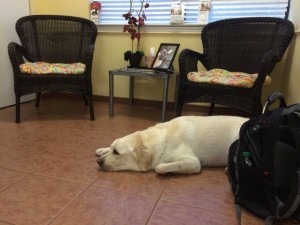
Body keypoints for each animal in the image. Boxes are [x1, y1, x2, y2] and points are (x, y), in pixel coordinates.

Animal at [96, 116, 248, 174]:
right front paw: (102, 150)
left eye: (116, 152)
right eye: (112, 148)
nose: (98, 162)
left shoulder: (193, 162)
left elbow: (159, 167)